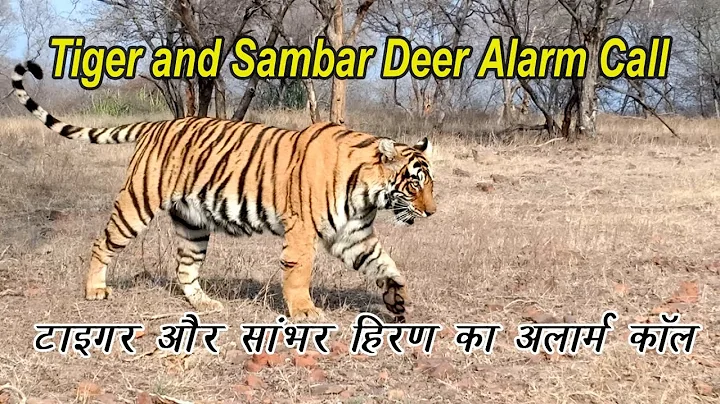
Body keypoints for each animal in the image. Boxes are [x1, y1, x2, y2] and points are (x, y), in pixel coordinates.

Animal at [11, 60, 436, 321]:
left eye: (430, 184)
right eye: (414, 182)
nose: (431, 213)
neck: (366, 194)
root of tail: (158, 124)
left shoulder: (353, 235)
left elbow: (386, 264)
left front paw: (397, 299)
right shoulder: (303, 231)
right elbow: (300, 272)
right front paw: (304, 312)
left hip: (193, 223)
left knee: (184, 267)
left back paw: (204, 304)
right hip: (136, 203)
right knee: (103, 242)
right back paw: (95, 290)